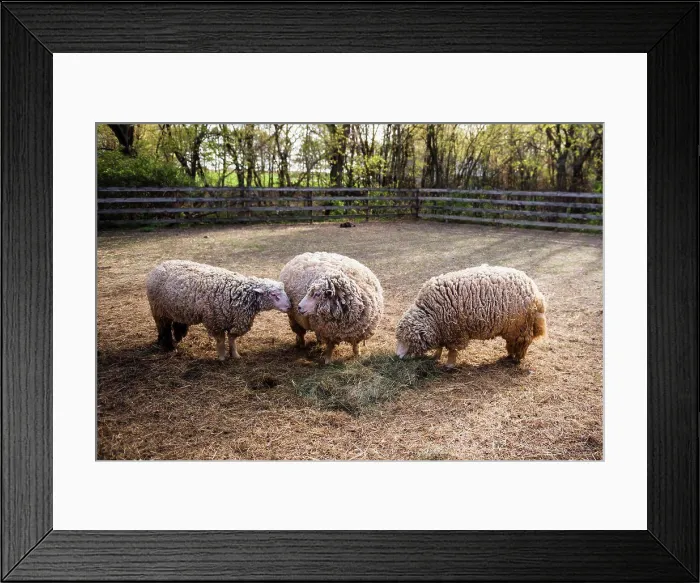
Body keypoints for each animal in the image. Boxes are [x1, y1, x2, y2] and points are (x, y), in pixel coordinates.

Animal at [146, 260, 291, 360]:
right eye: (273, 295)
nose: (289, 306)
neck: (238, 293)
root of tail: (160, 265)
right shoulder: (215, 321)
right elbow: (221, 340)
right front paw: (222, 357)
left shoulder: (235, 321)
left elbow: (232, 339)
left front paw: (235, 355)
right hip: (158, 310)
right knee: (163, 327)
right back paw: (167, 344)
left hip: (178, 308)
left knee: (177, 322)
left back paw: (177, 336)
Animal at [396, 264, 546, 367]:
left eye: (406, 340)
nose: (397, 356)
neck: (432, 314)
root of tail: (537, 294)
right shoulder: (443, 331)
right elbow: (440, 346)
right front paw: (436, 356)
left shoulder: (454, 332)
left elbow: (452, 350)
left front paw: (449, 365)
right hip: (512, 328)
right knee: (512, 342)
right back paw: (510, 355)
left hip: (521, 327)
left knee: (523, 342)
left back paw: (517, 358)